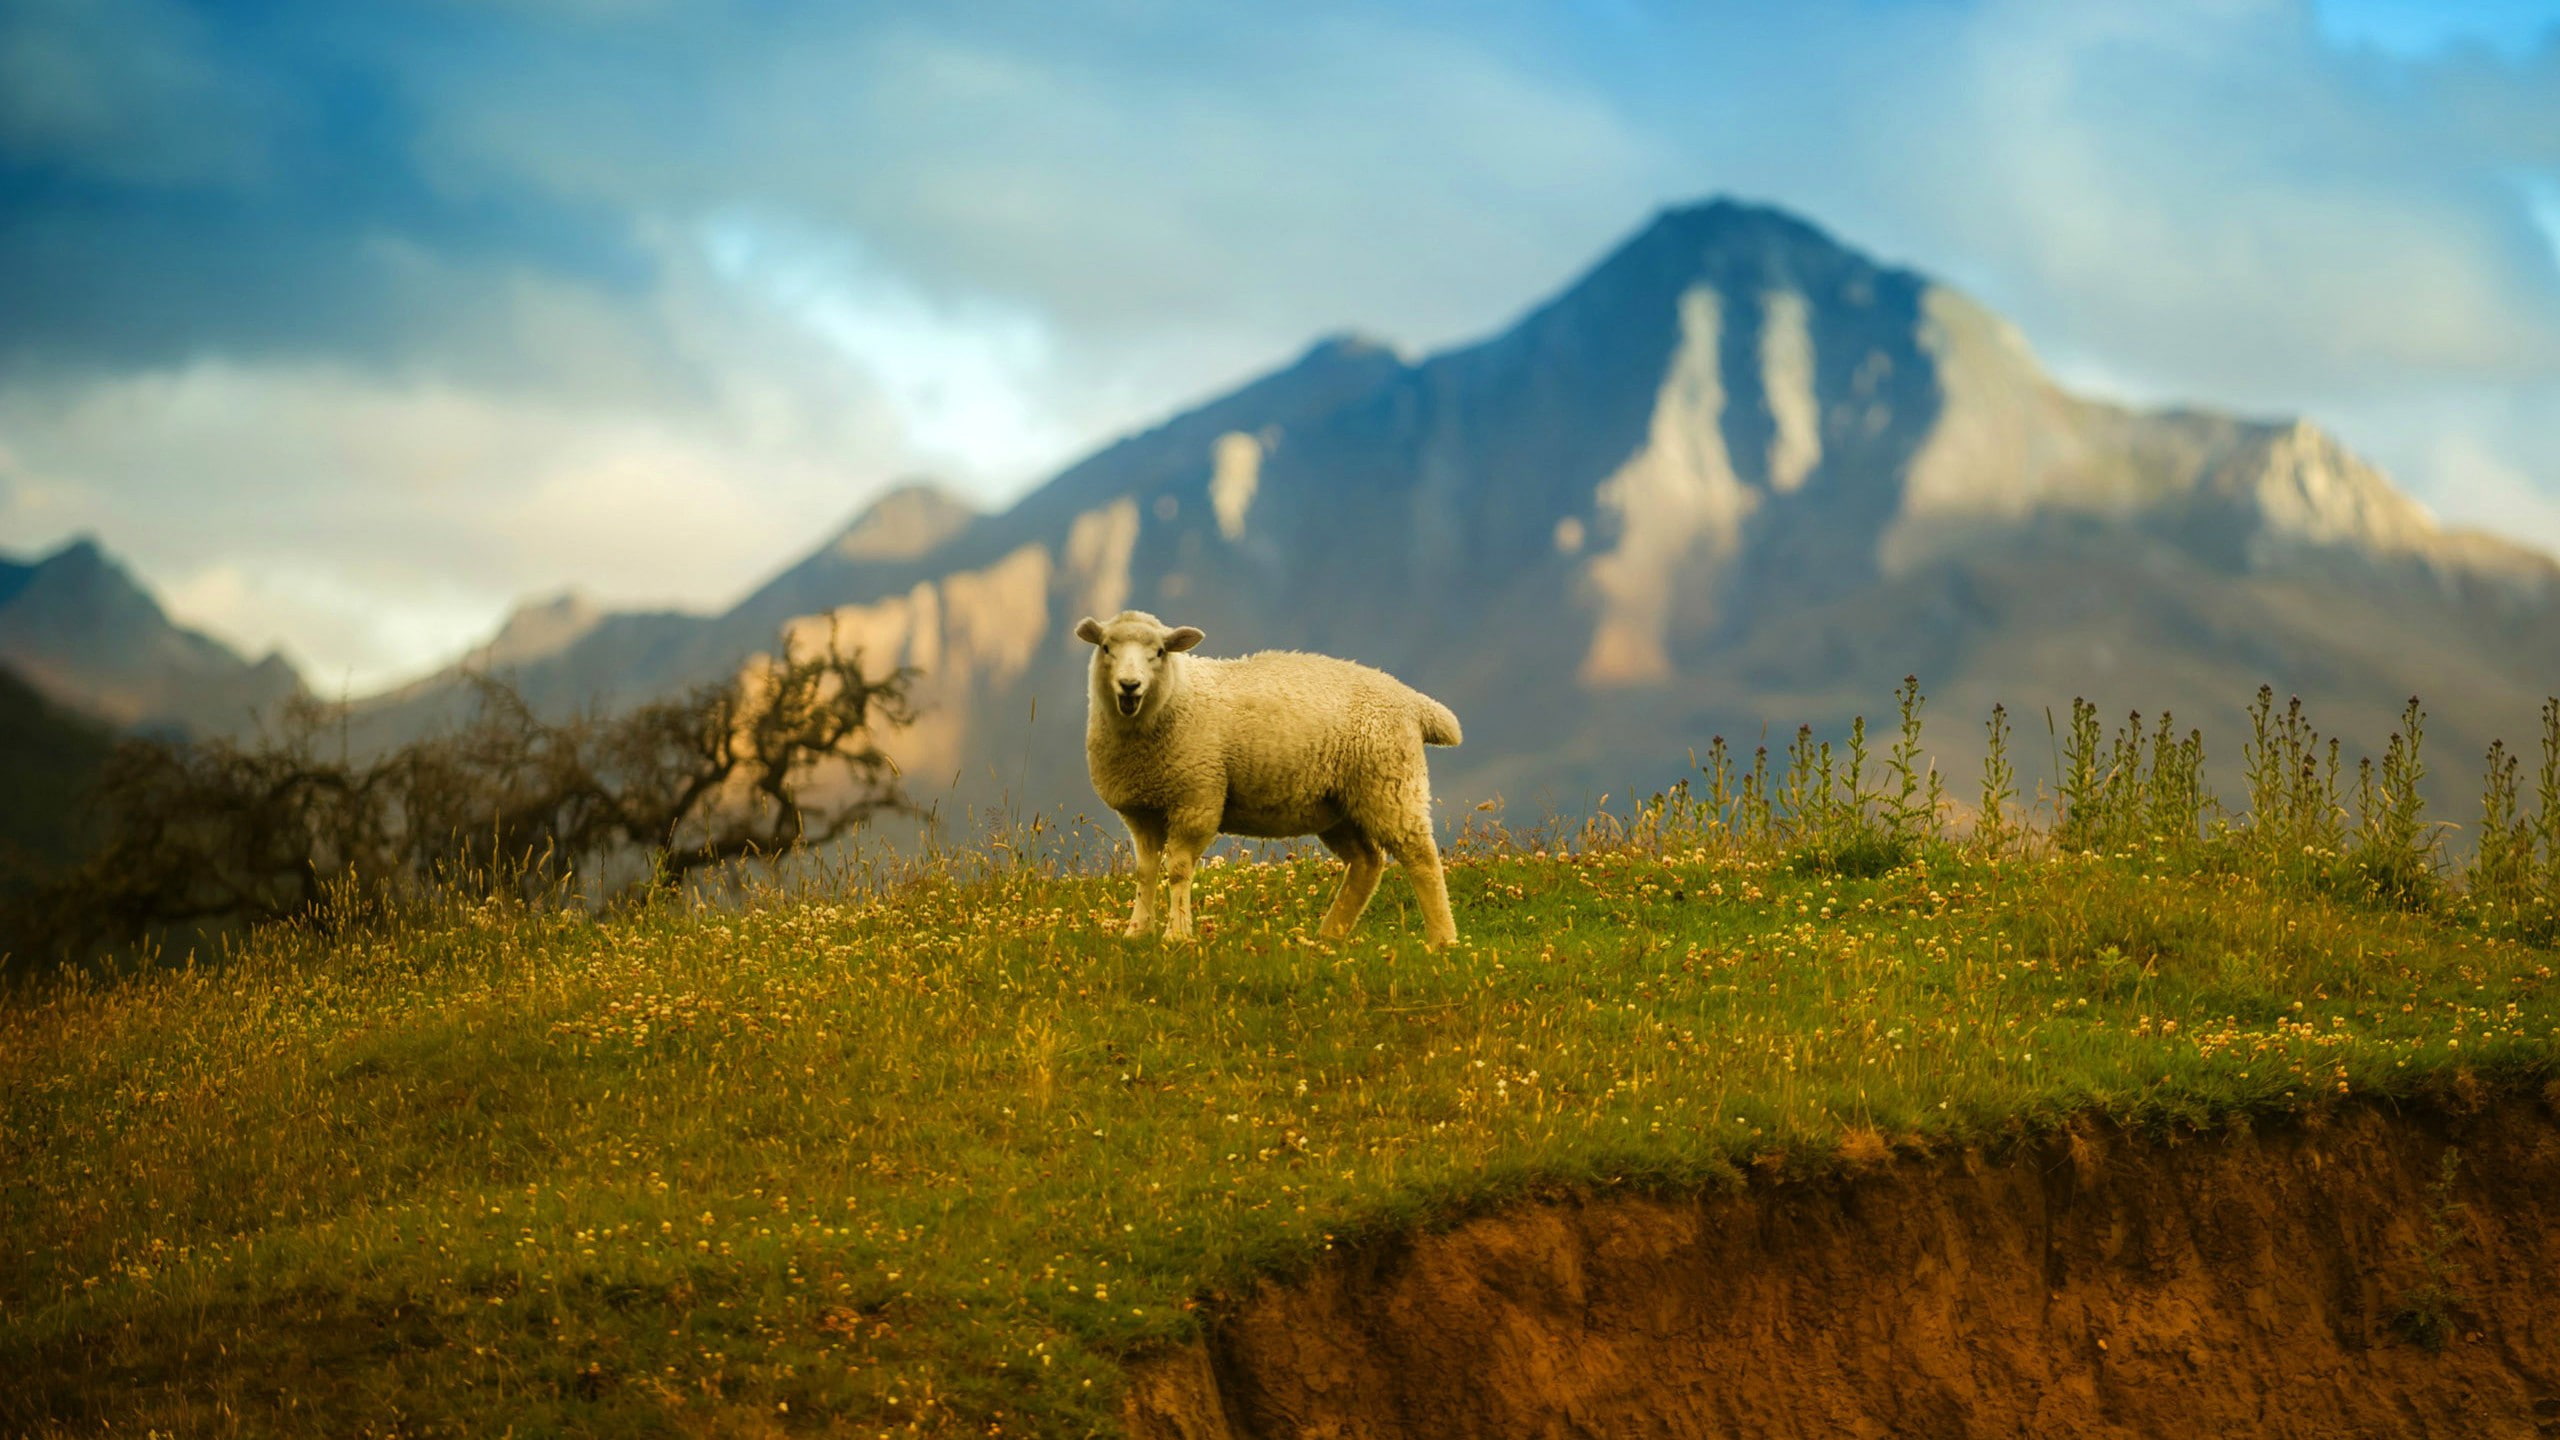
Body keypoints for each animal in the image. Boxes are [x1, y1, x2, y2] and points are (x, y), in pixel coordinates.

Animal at [1075, 609, 1465, 948]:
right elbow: (1145, 872)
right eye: (1106, 647)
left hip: (1388, 784)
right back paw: (1331, 934)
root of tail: (1413, 701)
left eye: (1159, 651)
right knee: (1367, 862)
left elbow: (1179, 871)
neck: (1175, 697)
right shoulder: (1142, 810)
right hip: (1337, 804)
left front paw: (1177, 934)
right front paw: (1136, 932)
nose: (1129, 686)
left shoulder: (1196, 800)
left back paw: (1442, 939)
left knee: (1421, 858)